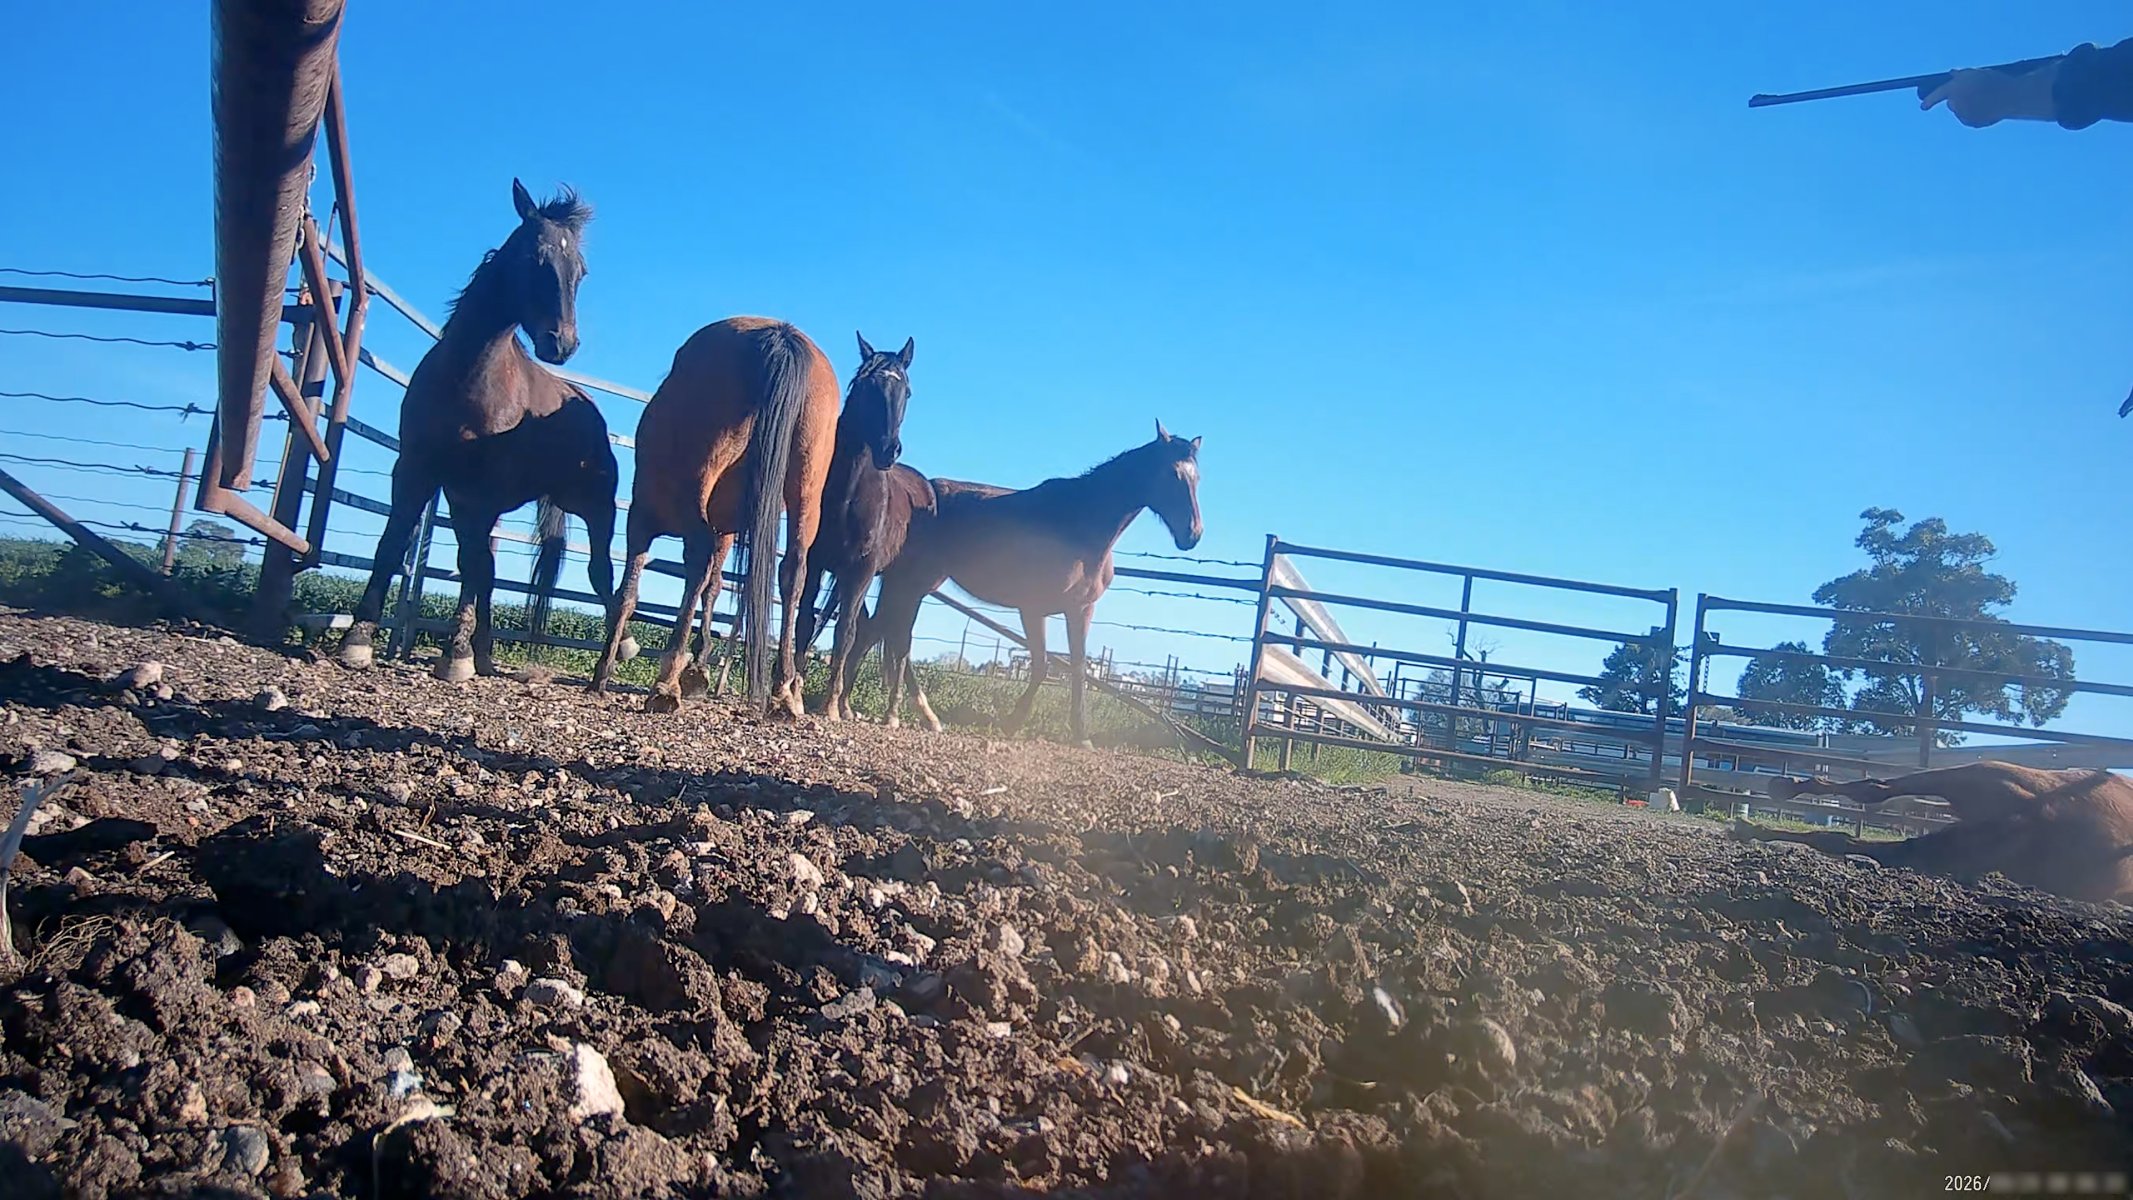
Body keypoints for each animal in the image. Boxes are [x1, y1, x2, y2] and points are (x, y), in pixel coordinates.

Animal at [337, 180, 618, 682]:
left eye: (580, 272)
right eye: (534, 258)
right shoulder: (418, 473)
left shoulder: (482, 490)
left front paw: (455, 656)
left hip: (594, 507)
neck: (468, 380)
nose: (562, 343)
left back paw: (618, 649)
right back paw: (483, 651)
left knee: (602, 574)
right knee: (485, 564)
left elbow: (471, 566)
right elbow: (396, 545)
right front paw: (358, 641)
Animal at [589, 317, 843, 716]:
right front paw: (698, 668)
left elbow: (628, 592)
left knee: (696, 557)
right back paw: (783, 689)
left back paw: (666, 681)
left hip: (700, 479)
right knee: (793, 574)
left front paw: (605, 670)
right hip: (806, 490)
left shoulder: (639, 521)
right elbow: (713, 586)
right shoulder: (724, 531)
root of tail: (780, 335)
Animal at [787, 333, 931, 721]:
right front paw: (798, 694)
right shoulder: (818, 563)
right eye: (866, 385)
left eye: (907, 391)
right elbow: (807, 623)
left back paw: (892, 713)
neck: (849, 491)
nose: (888, 450)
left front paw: (830, 706)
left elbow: (844, 633)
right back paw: (850, 705)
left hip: (905, 585)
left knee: (899, 638)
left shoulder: (861, 569)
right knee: (872, 630)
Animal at [864, 422, 1203, 746]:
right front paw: (1013, 723)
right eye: (1172, 474)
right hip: (913, 584)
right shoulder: (1033, 609)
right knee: (895, 638)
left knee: (890, 635)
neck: (1079, 523)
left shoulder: (1081, 609)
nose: (1193, 534)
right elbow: (1041, 664)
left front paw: (1081, 735)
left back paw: (916, 715)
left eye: (1197, 478)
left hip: (916, 585)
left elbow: (1077, 668)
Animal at [1735, 762, 2133, 903]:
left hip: (1957, 829)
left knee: (1849, 831)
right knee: (1878, 789)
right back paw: (1780, 793)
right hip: (1982, 777)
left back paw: (1755, 824)